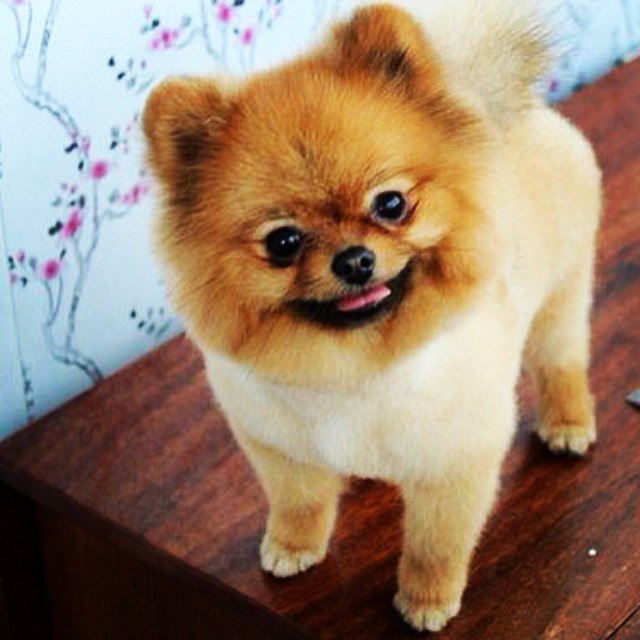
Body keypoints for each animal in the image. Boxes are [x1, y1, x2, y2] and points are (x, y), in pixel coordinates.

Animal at [142, 0, 601, 631]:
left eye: (391, 204)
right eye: (283, 242)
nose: (355, 259)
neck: (354, 373)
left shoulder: (452, 465)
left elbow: (435, 546)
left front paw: (426, 601)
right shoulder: (278, 447)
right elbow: (301, 502)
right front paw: (293, 546)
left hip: (561, 296)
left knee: (560, 362)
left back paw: (567, 425)